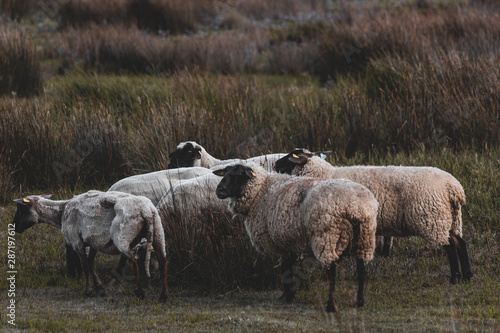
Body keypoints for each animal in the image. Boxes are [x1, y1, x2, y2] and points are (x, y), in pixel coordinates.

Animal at [12, 189, 169, 300]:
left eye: (20, 209)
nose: (14, 227)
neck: (61, 212)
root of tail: (146, 211)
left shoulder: (77, 242)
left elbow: (85, 266)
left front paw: (88, 291)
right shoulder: (93, 242)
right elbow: (91, 263)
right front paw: (100, 288)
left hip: (123, 238)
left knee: (133, 261)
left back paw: (139, 291)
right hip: (158, 232)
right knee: (163, 262)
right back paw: (163, 296)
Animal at [212, 162, 378, 310]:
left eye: (238, 175)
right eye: (225, 173)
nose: (219, 190)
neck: (260, 192)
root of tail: (355, 207)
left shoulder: (279, 243)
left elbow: (285, 269)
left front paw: (286, 297)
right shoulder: (289, 242)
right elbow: (289, 267)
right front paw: (289, 295)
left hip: (327, 236)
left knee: (331, 271)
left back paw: (331, 306)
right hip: (365, 238)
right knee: (361, 269)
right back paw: (360, 301)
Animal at [274, 149, 472, 284]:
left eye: (291, 157)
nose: (275, 165)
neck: (325, 174)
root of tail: (454, 188)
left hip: (432, 219)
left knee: (450, 247)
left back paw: (454, 278)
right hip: (451, 218)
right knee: (460, 243)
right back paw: (467, 276)